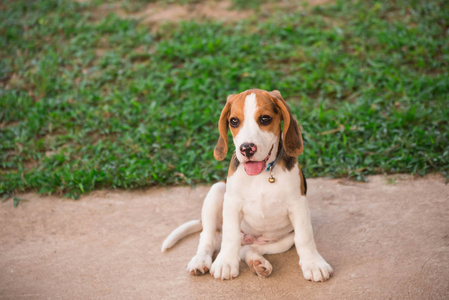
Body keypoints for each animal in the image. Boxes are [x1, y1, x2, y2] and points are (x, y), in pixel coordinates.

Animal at [161, 88, 332, 282]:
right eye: (234, 121)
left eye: (265, 119)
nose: (246, 148)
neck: (262, 174)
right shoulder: (232, 203)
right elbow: (230, 237)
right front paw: (226, 263)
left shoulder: (298, 205)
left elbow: (305, 237)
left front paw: (314, 264)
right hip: (217, 191)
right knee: (208, 237)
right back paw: (200, 260)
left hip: (283, 239)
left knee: (248, 249)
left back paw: (258, 263)